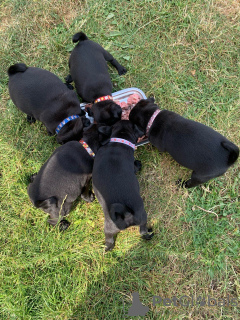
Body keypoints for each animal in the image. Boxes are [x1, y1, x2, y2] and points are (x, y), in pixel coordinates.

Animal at [92, 119, 154, 251]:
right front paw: (138, 164)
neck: (118, 141)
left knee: (110, 241)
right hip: (142, 217)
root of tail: (125, 214)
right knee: (142, 230)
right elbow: (136, 166)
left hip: (110, 229)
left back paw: (107, 249)